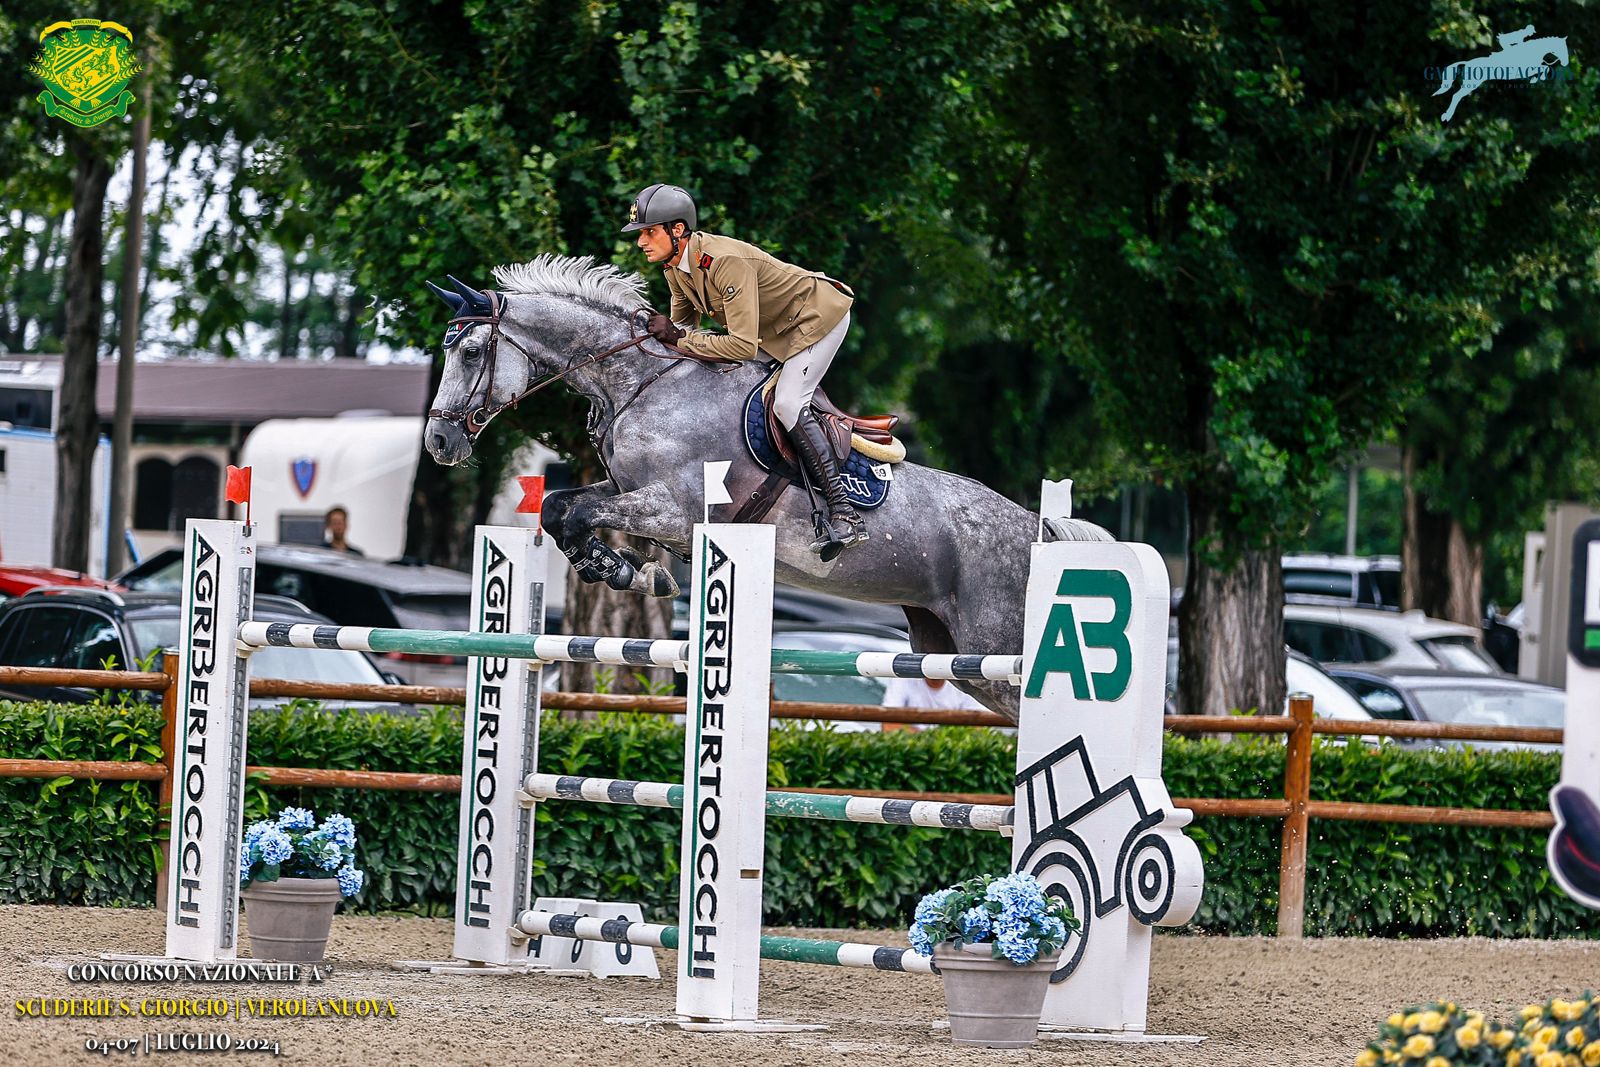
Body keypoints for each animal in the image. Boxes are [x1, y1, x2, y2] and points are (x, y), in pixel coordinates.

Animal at [419, 254, 1107, 723]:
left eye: (472, 351)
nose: (441, 444)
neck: (642, 384)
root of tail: (1037, 531)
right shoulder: (634, 499)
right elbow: (567, 512)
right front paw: (624, 571)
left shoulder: (675, 510)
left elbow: (574, 512)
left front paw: (623, 569)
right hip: (962, 661)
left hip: (997, 648)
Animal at [1440, 34, 1574, 123]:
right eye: (1563, 48)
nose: (1566, 63)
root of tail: (1467, 63)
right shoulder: (1526, 70)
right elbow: (1544, 68)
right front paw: (1535, 79)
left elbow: (1544, 68)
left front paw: (1535, 79)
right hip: (1472, 83)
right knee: (1456, 96)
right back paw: (1447, 116)